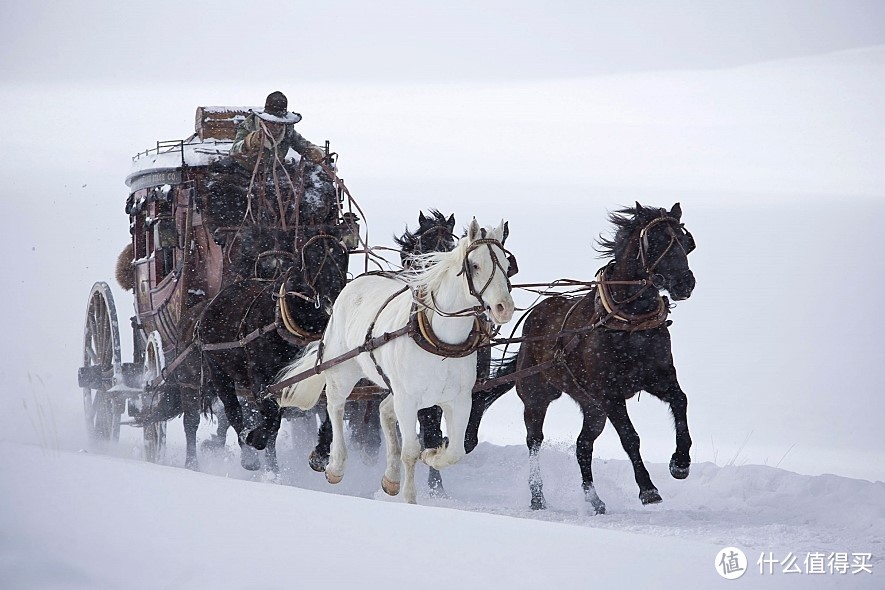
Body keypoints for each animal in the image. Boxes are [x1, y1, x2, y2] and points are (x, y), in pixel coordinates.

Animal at [274, 220, 512, 506]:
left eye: (507, 265)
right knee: (335, 407)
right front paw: (410, 499)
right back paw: (336, 466)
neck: (440, 341)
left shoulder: (459, 400)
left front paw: (433, 455)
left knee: (384, 410)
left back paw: (390, 477)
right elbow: (410, 451)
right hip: (343, 371)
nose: (504, 308)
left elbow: (455, 451)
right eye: (475, 265)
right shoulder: (408, 400)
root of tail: (354, 283)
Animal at [466, 204, 696, 512]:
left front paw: (680, 463)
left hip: (592, 407)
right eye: (656, 241)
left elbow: (681, 402)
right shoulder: (610, 394)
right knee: (534, 441)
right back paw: (537, 496)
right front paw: (648, 488)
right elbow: (630, 437)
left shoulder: (658, 378)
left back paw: (593, 499)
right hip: (538, 396)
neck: (628, 322)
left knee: (583, 445)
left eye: (685, 242)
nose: (685, 283)